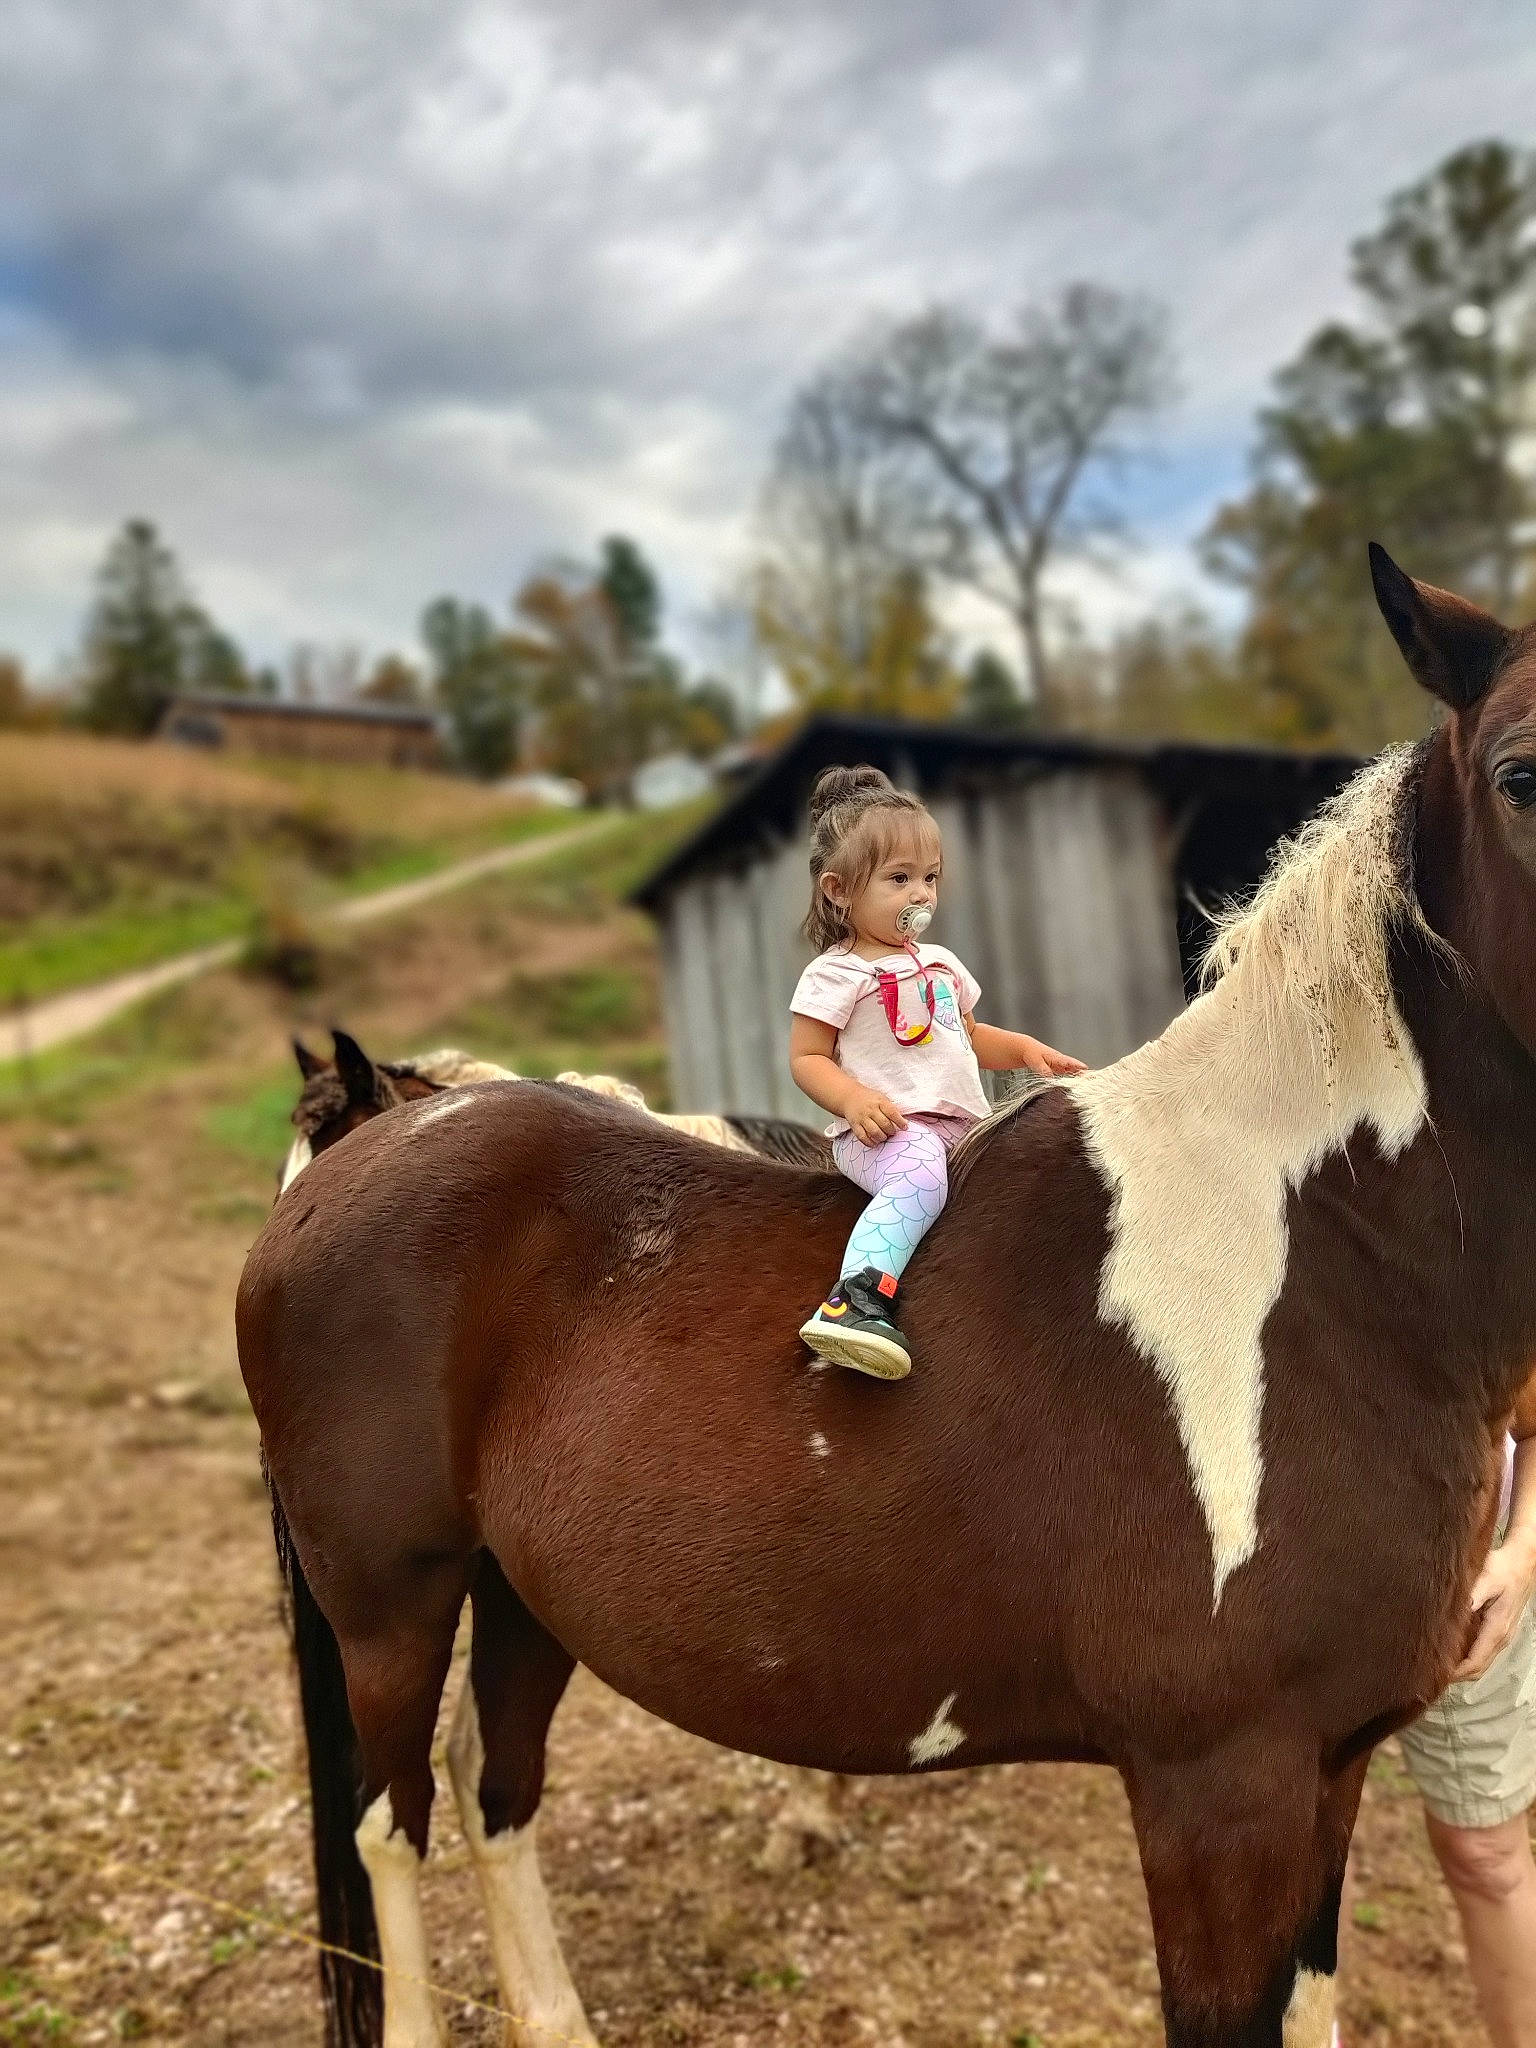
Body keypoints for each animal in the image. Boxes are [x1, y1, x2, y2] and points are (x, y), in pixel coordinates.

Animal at [238, 545, 1536, 2048]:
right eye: (1521, 773)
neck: (1313, 1257)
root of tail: (335, 1185)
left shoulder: (1327, 1771)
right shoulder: (1224, 1790)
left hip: (519, 1594)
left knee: (491, 1789)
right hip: (389, 1606)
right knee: (389, 1828)